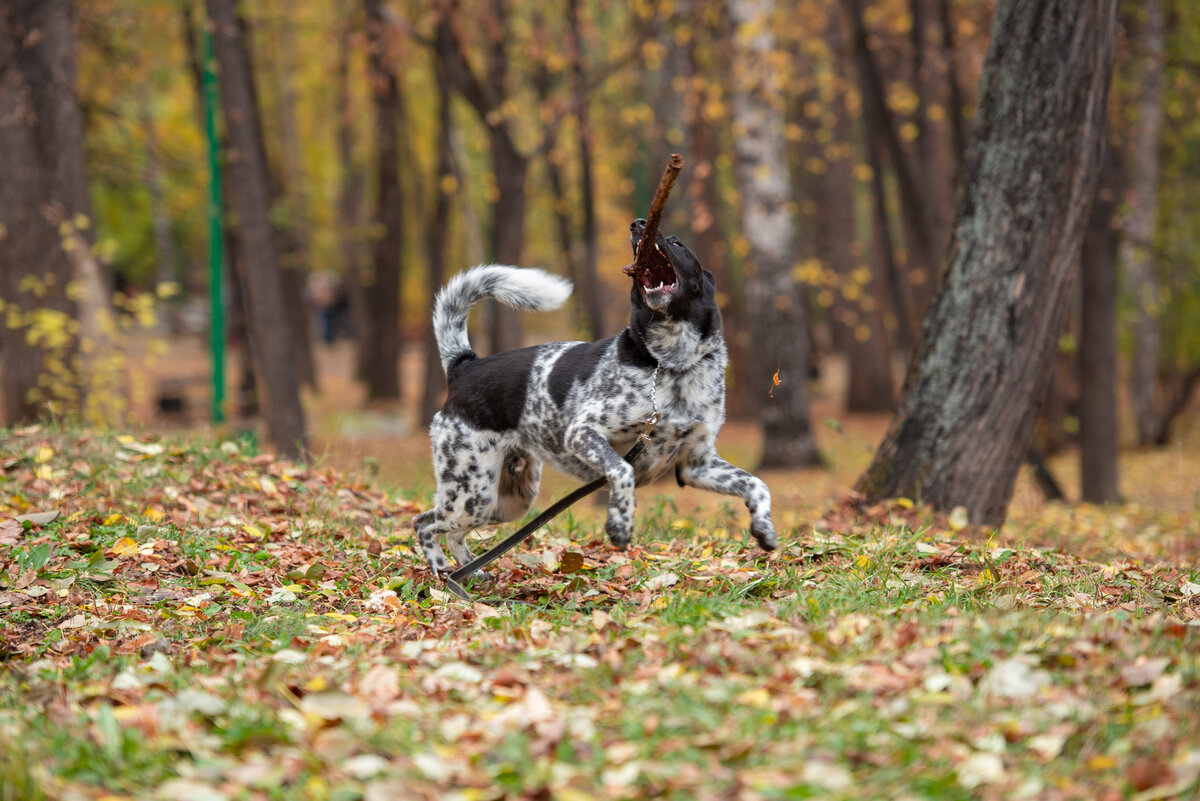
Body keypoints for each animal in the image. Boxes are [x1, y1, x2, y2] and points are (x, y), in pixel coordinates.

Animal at [415, 219, 777, 575]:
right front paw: (619, 523)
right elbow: (622, 470)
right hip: (472, 492)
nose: (638, 224)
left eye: (677, 243)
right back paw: (440, 573)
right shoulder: (582, 432)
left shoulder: (696, 464)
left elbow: (757, 483)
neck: (673, 364)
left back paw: (469, 575)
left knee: (452, 533)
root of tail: (464, 365)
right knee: (423, 523)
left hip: (506, 500)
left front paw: (764, 528)